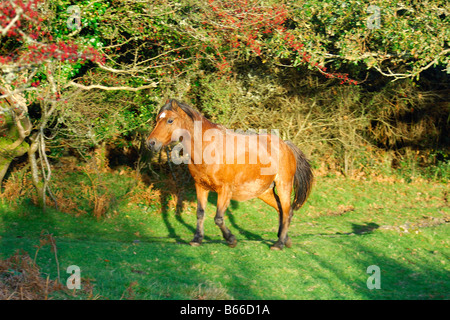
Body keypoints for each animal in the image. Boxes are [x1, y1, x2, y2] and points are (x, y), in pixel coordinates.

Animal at [148, 99, 312, 249]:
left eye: (170, 120)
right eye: (157, 119)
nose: (151, 143)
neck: (209, 148)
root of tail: (286, 145)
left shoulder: (224, 189)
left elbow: (218, 218)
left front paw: (231, 239)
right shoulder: (201, 186)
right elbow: (200, 213)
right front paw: (197, 239)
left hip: (284, 185)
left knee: (286, 211)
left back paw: (279, 243)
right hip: (263, 191)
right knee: (281, 210)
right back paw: (285, 239)